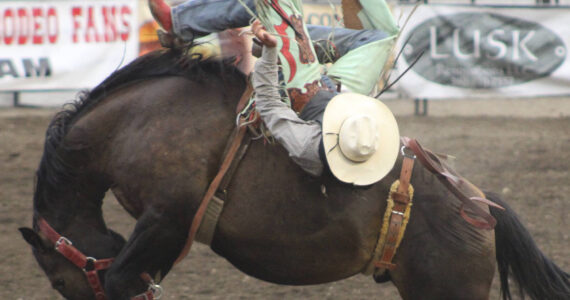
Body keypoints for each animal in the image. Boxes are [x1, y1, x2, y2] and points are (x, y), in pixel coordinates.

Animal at [17, 47, 568, 300]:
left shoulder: (166, 218)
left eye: (60, 282)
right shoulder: (165, 236)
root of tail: (479, 205)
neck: (134, 123)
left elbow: (120, 280)